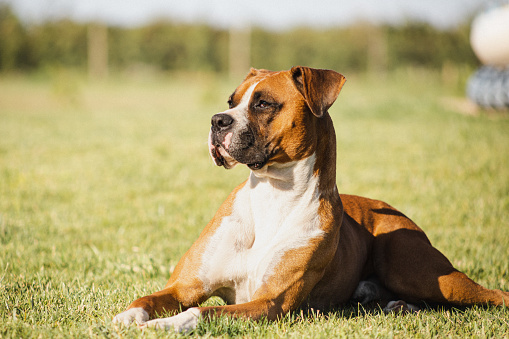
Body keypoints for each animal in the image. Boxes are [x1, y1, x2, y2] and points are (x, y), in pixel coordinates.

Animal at [112, 66, 508, 332]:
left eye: (264, 103)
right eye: (231, 102)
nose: (217, 120)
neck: (273, 194)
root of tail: (397, 213)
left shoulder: (268, 303)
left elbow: (202, 312)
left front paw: (161, 326)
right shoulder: (186, 287)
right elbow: (146, 299)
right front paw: (126, 317)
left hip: (420, 272)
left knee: (492, 295)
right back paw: (399, 307)